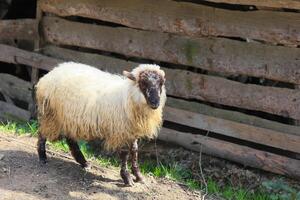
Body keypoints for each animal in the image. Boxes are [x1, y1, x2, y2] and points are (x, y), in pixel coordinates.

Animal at [35, 62, 166, 186]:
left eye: (161, 84)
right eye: (143, 83)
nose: (155, 103)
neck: (128, 96)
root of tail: (50, 74)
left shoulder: (132, 130)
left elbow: (134, 151)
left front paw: (138, 175)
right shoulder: (122, 130)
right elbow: (124, 153)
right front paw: (126, 177)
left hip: (68, 118)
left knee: (70, 140)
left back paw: (84, 162)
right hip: (50, 115)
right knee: (42, 133)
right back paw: (42, 157)